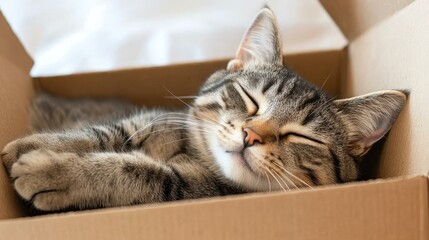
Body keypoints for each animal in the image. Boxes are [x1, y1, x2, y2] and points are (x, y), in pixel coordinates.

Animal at [1, 7, 406, 212]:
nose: (250, 135)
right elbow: (102, 133)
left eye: (300, 135)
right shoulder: (146, 121)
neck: (192, 154)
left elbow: (136, 172)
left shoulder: (189, 189)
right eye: (250, 98)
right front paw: (30, 146)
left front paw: (55, 171)